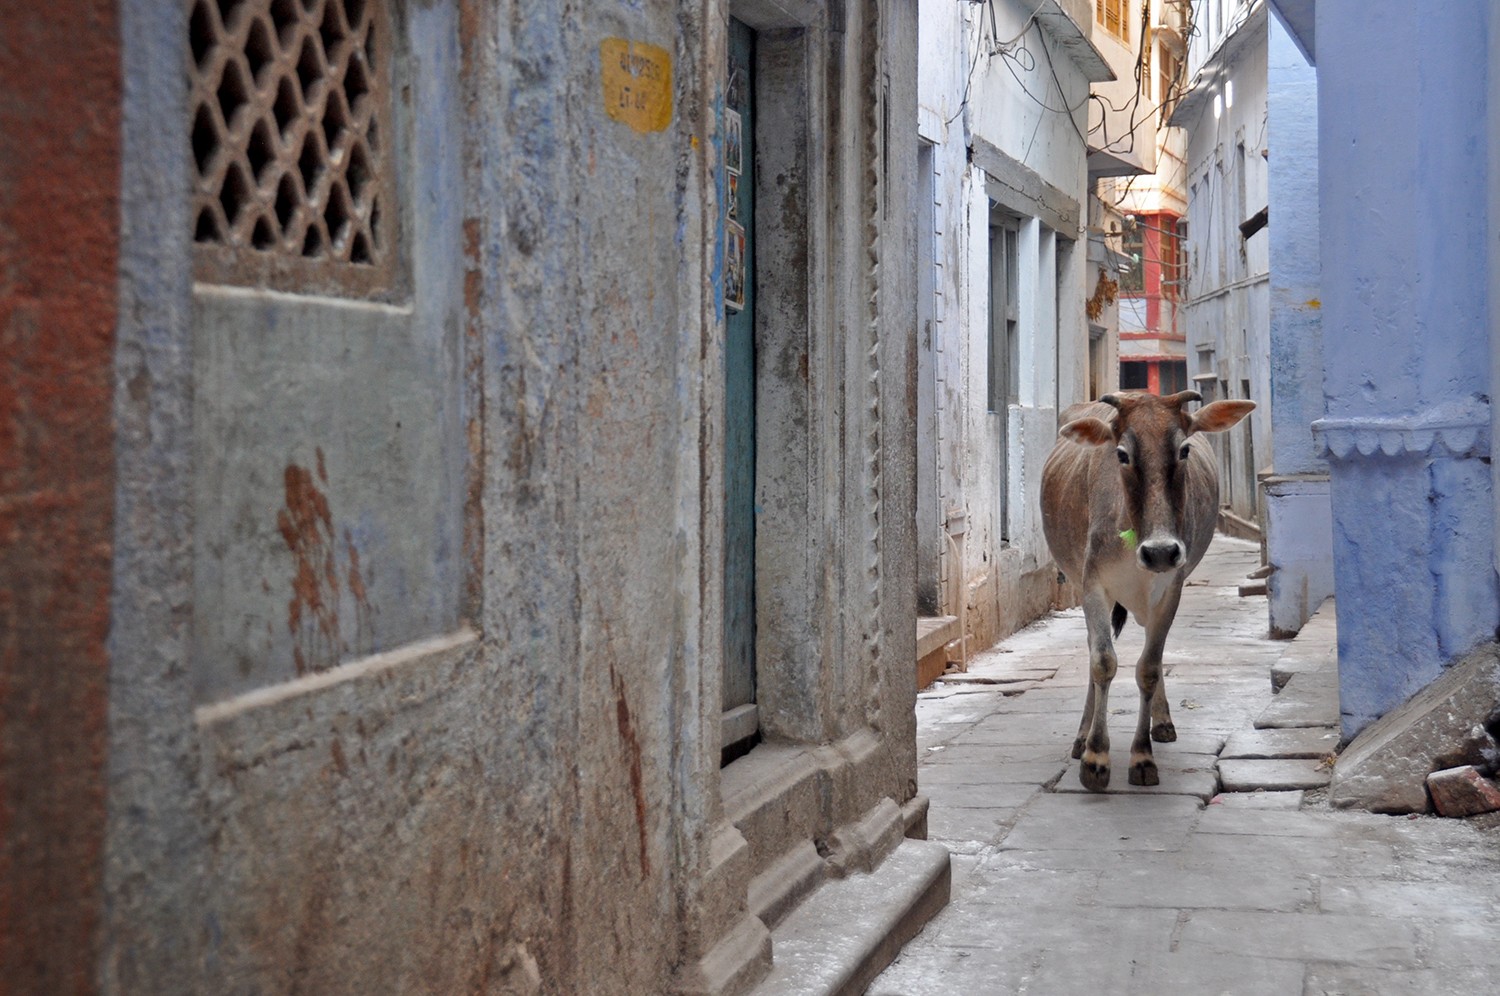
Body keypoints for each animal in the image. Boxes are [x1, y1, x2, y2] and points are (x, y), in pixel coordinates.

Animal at [1044, 390, 1254, 792]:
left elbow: (1149, 669)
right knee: (1094, 651)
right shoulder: (1092, 585)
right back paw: (1081, 737)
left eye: (1184, 449)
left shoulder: (1171, 589)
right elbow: (1102, 661)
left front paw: (1141, 757)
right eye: (1122, 453)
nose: (1159, 551)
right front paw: (1095, 757)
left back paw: (1163, 722)